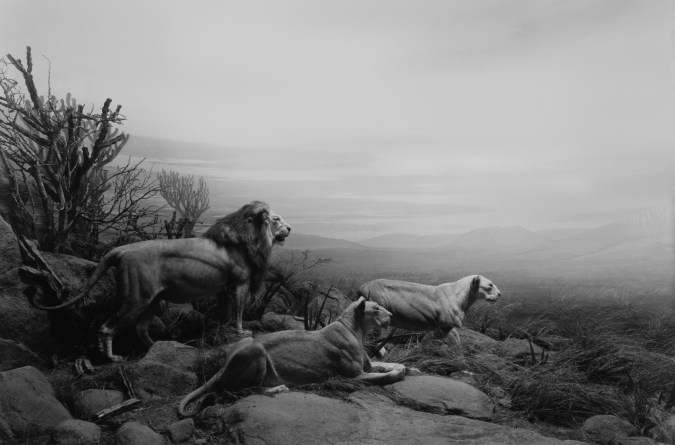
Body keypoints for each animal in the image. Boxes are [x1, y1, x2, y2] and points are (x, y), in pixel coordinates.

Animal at [28, 201, 291, 362]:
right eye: (276, 219)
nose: (289, 228)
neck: (252, 239)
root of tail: (121, 250)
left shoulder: (225, 289)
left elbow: (225, 314)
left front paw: (225, 331)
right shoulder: (239, 285)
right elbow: (237, 313)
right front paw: (241, 331)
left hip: (153, 300)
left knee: (140, 328)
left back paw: (162, 348)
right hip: (135, 299)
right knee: (106, 328)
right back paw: (112, 358)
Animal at [177, 296, 406, 417]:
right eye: (376, 307)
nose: (392, 315)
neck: (357, 330)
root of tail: (221, 368)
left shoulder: (367, 366)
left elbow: (386, 363)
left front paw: (404, 366)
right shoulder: (354, 376)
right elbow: (383, 375)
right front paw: (399, 372)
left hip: (247, 341)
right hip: (255, 349)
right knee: (240, 390)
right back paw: (278, 388)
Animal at [358, 275, 501, 349]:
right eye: (490, 285)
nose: (500, 294)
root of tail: (361, 287)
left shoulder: (446, 326)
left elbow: (457, 339)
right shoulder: (444, 325)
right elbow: (430, 341)